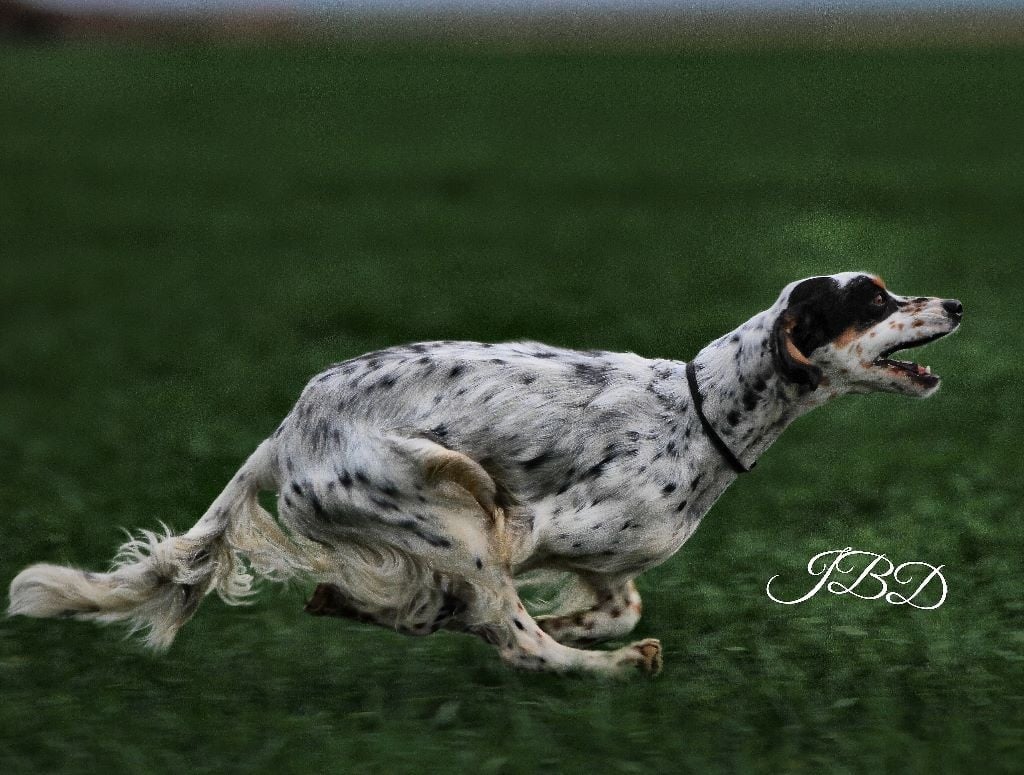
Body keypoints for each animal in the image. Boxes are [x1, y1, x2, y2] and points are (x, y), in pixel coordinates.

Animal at [6, 272, 958, 675]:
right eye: (874, 299)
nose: (953, 302)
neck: (700, 411)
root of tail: (286, 430)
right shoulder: (530, 526)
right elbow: (517, 618)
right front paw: (571, 637)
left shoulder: (597, 558)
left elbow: (613, 602)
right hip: (450, 498)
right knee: (518, 642)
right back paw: (610, 668)